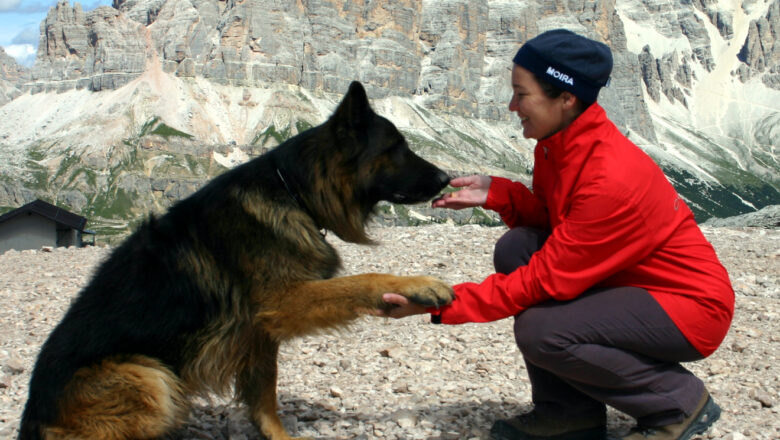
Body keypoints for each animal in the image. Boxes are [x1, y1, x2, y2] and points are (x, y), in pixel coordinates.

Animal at [21, 82, 454, 440]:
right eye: (396, 148)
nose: (448, 178)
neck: (293, 192)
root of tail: (33, 420)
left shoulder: (259, 330)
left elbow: (264, 395)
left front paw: (275, 435)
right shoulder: (283, 302)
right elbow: (364, 280)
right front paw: (419, 284)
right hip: (148, 376)